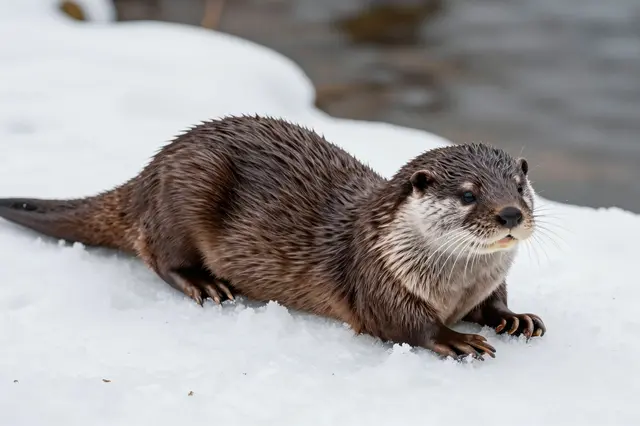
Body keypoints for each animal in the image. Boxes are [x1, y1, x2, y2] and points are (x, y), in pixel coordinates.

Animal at [0, 115, 545, 360]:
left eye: (519, 185)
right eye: (469, 194)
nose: (510, 213)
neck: (455, 286)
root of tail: (148, 171)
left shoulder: (484, 282)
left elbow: (495, 300)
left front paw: (513, 317)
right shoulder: (375, 275)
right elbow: (403, 324)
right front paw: (458, 339)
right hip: (188, 187)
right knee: (160, 256)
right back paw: (206, 285)